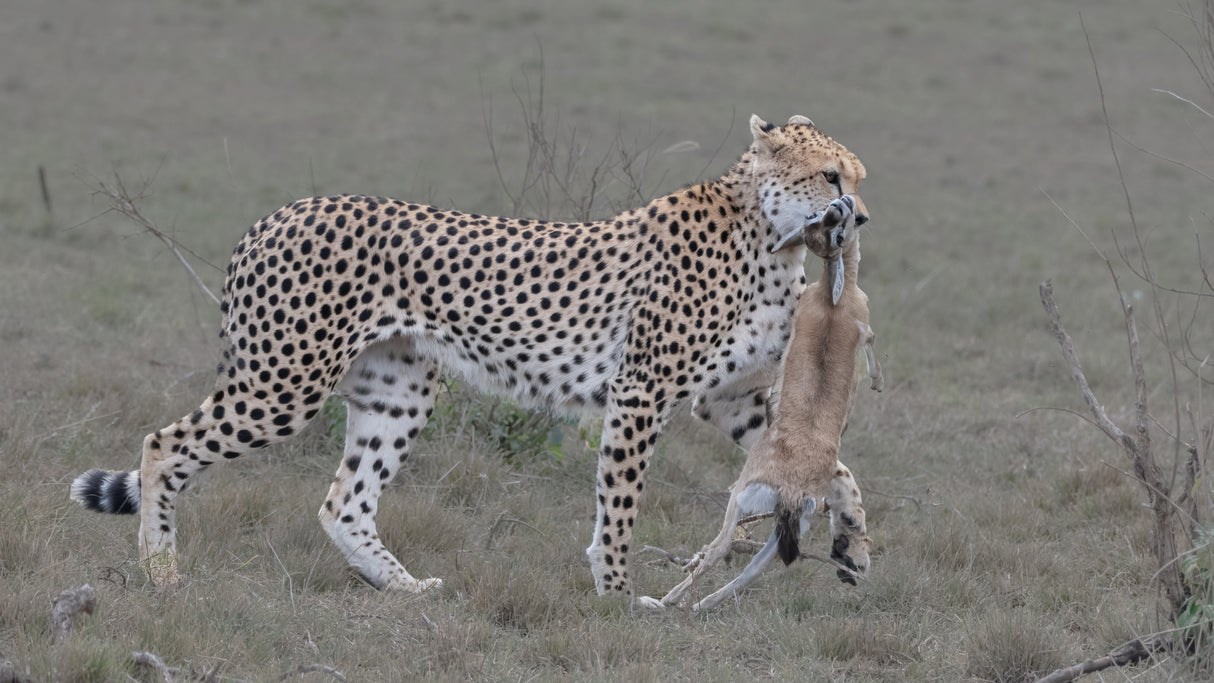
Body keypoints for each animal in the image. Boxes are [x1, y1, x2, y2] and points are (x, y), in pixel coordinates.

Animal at [70, 114, 869, 600]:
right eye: (829, 176)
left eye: (859, 178)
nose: (857, 216)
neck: (768, 237)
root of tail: (276, 213)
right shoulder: (642, 391)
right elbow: (621, 504)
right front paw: (615, 593)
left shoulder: (726, 396)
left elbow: (834, 467)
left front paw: (855, 545)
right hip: (283, 381)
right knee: (163, 444)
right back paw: (160, 570)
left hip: (396, 390)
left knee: (344, 500)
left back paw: (401, 588)